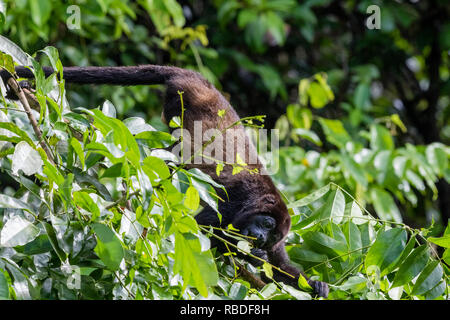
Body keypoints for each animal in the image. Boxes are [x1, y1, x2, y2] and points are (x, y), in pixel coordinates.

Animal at [1, 65, 328, 298]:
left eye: (272, 236)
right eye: (267, 224)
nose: (260, 239)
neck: (256, 200)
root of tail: (199, 79)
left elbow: (280, 267)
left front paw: (314, 285)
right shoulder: (229, 200)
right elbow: (203, 230)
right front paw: (248, 254)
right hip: (179, 100)